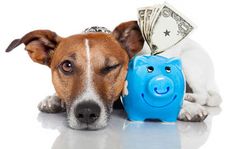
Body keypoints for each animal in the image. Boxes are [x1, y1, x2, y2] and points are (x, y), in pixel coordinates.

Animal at [5, 20, 221, 129]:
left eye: (111, 67)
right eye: (67, 66)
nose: (86, 113)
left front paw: (186, 108)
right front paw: (54, 99)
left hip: (191, 63)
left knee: (203, 94)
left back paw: (190, 97)